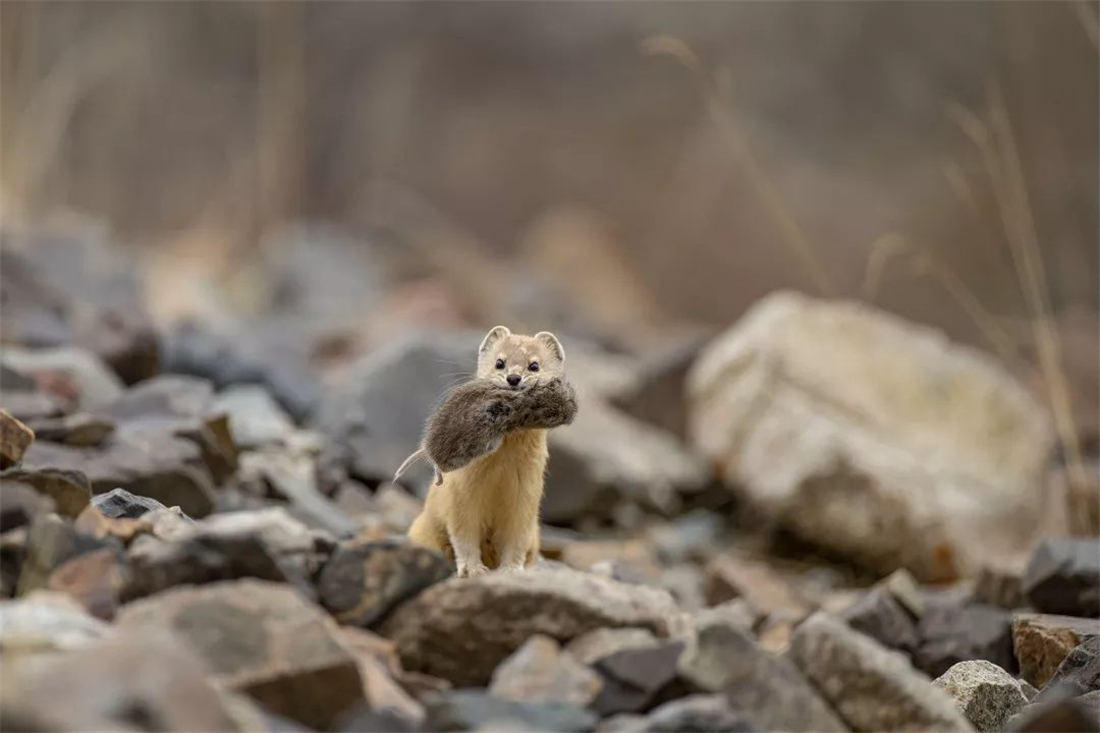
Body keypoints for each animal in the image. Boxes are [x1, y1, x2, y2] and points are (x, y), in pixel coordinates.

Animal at [404, 325, 576, 576]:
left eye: (534, 365)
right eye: (499, 362)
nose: (513, 378)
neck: (498, 479)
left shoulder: (526, 497)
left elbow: (517, 539)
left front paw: (511, 570)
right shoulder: (460, 495)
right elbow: (463, 536)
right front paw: (473, 569)